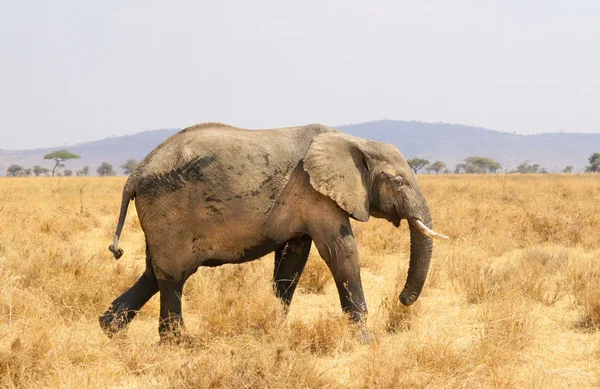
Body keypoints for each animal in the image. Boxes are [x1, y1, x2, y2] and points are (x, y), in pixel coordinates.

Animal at [98, 122, 448, 340]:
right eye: (398, 182)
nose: (402, 299)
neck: (355, 141)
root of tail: (135, 174)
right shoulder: (316, 194)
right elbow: (341, 252)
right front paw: (364, 338)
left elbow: (292, 261)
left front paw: (272, 329)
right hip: (168, 210)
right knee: (172, 275)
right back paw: (180, 342)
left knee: (154, 273)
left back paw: (109, 328)